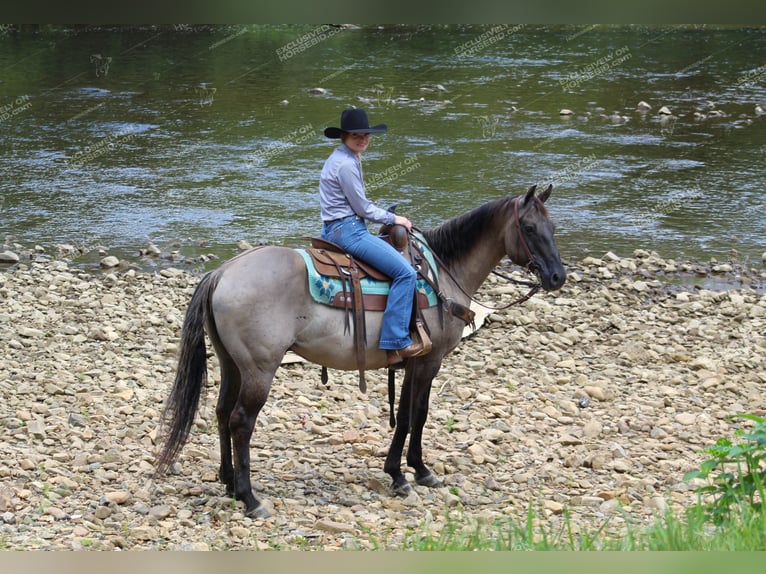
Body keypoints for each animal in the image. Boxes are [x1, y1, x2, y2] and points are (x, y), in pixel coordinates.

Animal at [158, 186, 564, 520]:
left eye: (553, 227)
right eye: (529, 228)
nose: (558, 276)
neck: (443, 273)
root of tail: (222, 273)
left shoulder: (414, 363)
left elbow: (411, 414)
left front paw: (409, 470)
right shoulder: (428, 361)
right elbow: (414, 415)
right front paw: (408, 473)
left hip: (231, 364)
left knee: (222, 413)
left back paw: (228, 482)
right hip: (259, 368)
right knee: (241, 421)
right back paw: (250, 498)